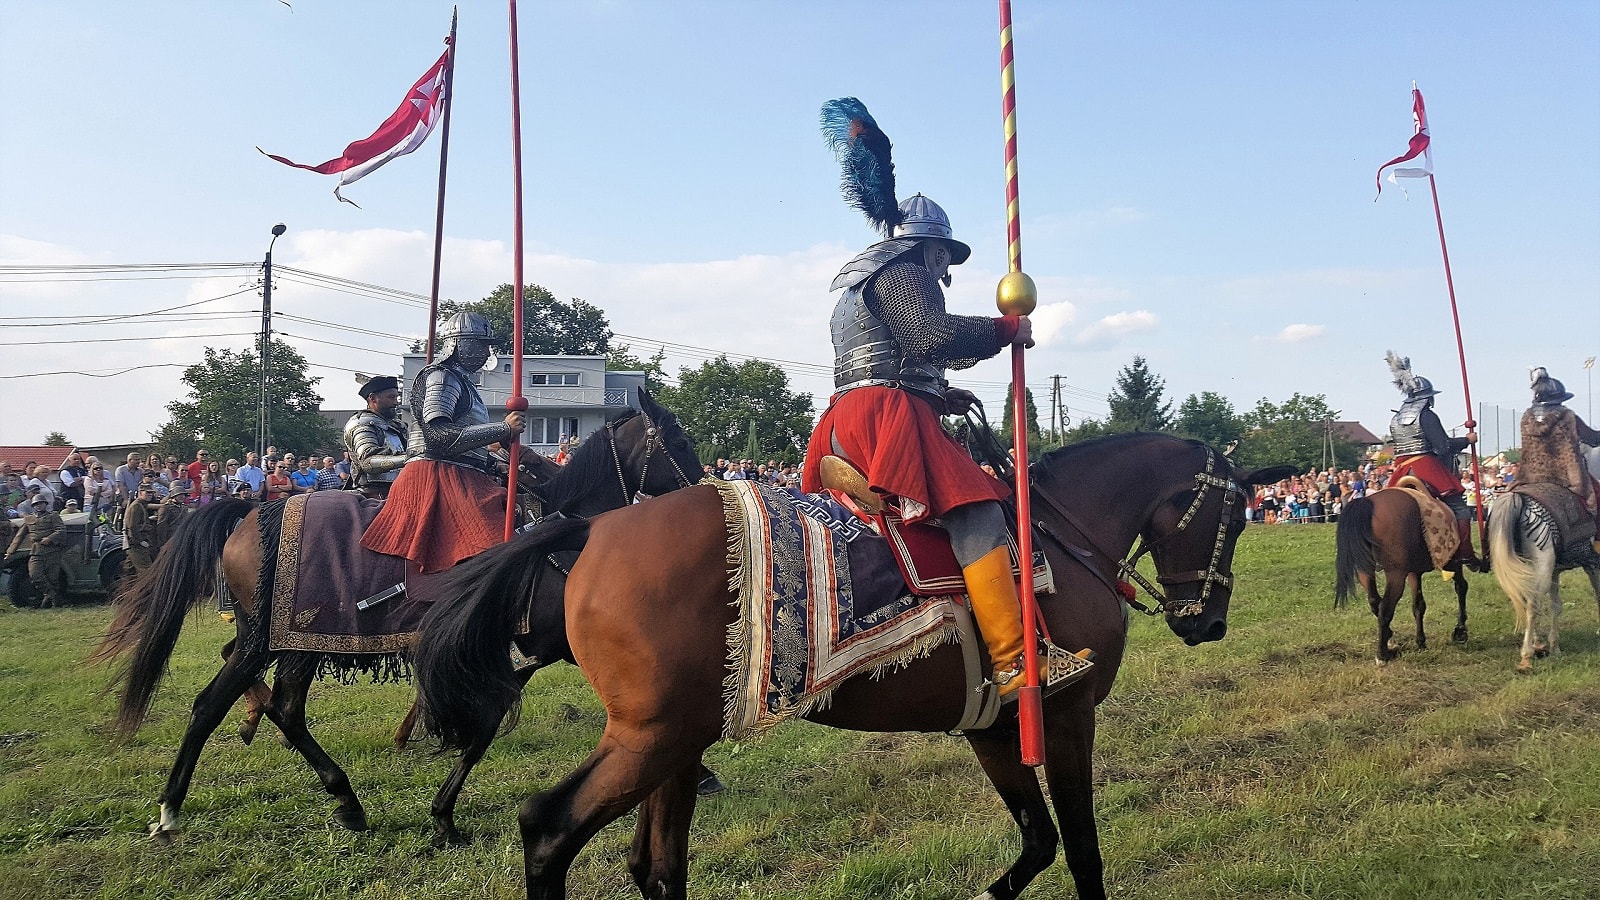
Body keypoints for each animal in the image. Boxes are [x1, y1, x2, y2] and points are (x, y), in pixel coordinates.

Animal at [95, 390, 700, 839]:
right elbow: (488, 722)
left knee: (284, 709)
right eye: (679, 441)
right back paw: (172, 810)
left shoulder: (524, 651)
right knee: (213, 704)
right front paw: (444, 815)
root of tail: (251, 512)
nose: (704, 494)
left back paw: (342, 798)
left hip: (297, 640)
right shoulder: (537, 647)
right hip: (266, 639)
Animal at [419, 432, 1292, 890]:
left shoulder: (988, 726)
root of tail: (593, 529)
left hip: (674, 741)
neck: (1058, 535)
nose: (1210, 622)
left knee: (656, 862)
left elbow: (1039, 839)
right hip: (650, 737)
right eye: (1236, 516)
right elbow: (1078, 845)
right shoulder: (1067, 715)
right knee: (550, 828)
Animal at [1331, 486, 1465, 662]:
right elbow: (1461, 588)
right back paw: (1382, 655)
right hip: (1396, 575)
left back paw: (1388, 638)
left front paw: (1421, 641)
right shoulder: (1453, 562)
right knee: (1385, 607)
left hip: (1365, 570)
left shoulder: (1414, 572)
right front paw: (1460, 631)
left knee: (1374, 601)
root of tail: (1366, 502)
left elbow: (1418, 605)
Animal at [1484, 445, 1600, 669]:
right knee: (1533, 604)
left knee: (1527, 598)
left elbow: (1556, 606)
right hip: (1542, 563)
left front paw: (1555, 647)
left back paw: (1538, 643)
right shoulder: (1593, 564)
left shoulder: (1556, 570)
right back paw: (1527, 654)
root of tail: (1518, 497)